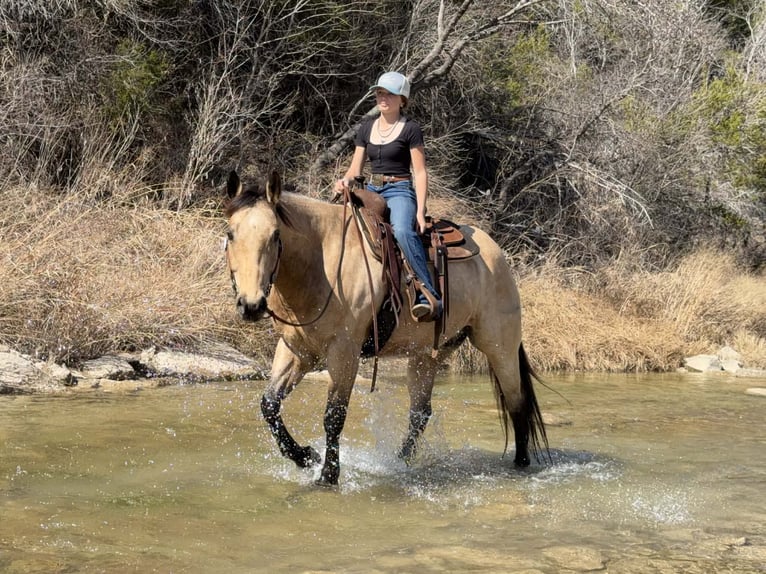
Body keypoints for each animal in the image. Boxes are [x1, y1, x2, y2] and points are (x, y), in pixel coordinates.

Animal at [223, 170, 548, 486]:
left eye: (275, 234)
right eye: (230, 233)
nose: (251, 305)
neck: (322, 263)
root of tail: (496, 253)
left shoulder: (344, 352)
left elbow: (334, 416)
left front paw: (328, 476)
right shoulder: (296, 350)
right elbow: (269, 406)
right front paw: (306, 457)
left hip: (499, 348)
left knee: (517, 403)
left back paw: (520, 466)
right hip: (428, 355)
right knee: (420, 413)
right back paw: (400, 462)